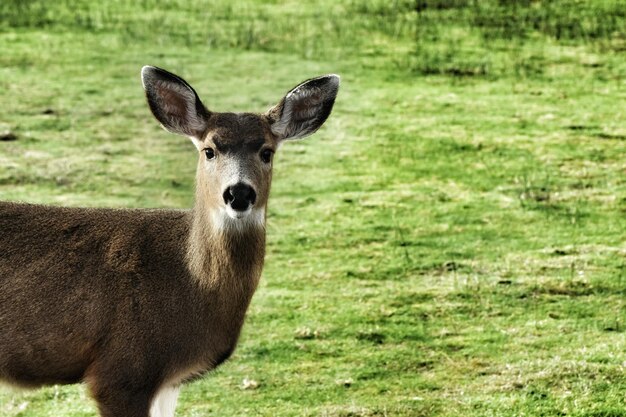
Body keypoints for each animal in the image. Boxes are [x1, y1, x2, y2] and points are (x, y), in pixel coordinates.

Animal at [0, 66, 336, 414]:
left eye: (266, 152)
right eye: (209, 150)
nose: (239, 193)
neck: (190, 283)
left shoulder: (168, 381)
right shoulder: (122, 371)